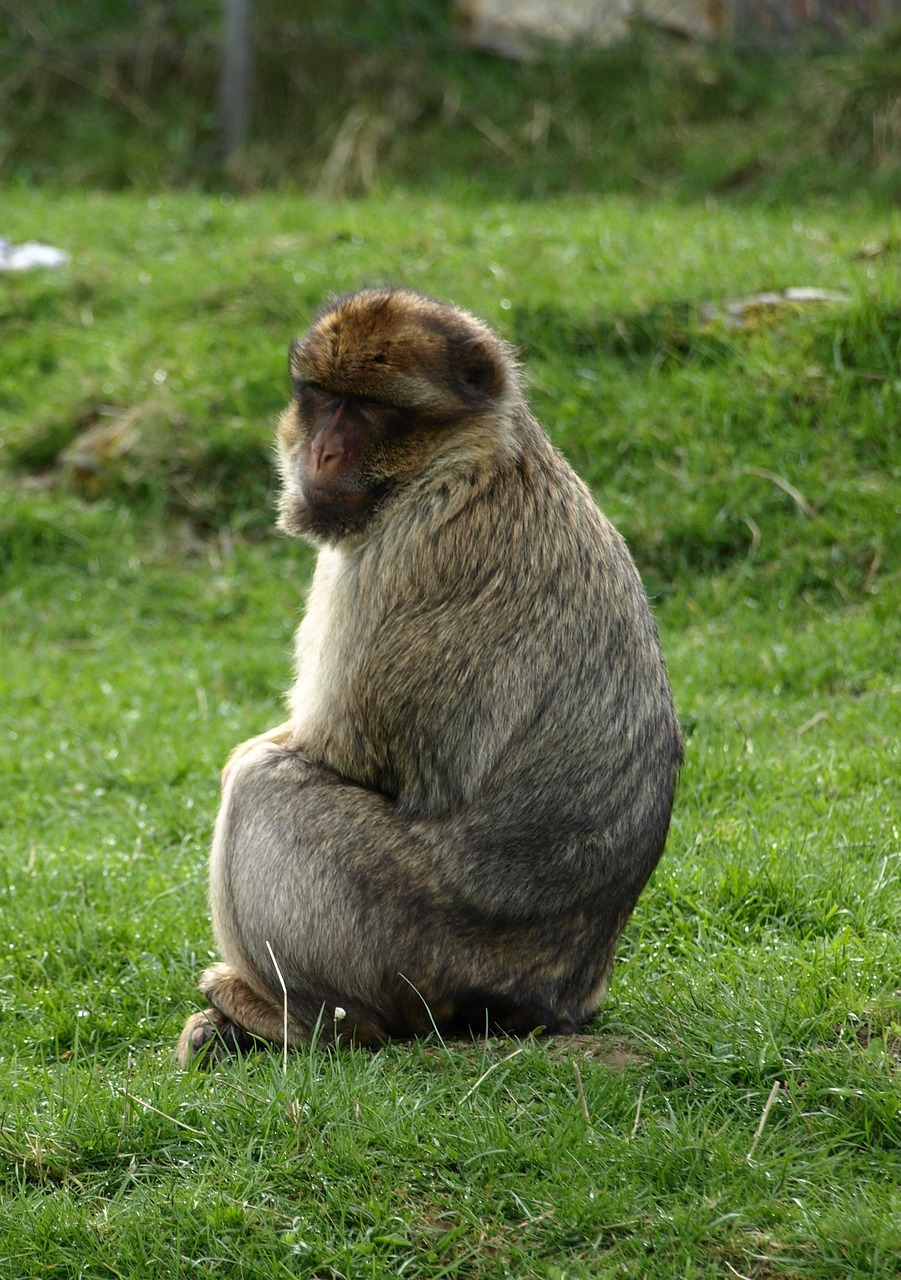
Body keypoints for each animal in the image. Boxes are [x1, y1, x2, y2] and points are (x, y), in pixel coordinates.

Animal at [177, 286, 682, 1066]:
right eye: (325, 399)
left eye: (368, 409)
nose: (322, 450)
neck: (462, 455)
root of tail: (558, 997)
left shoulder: (413, 550)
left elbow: (341, 751)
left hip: (414, 945)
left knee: (265, 782)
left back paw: (300, 1019)